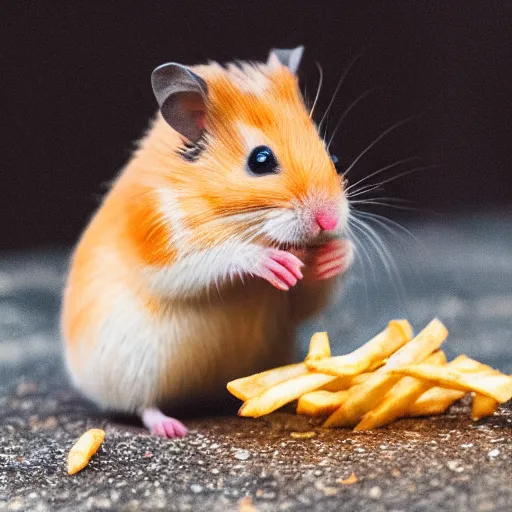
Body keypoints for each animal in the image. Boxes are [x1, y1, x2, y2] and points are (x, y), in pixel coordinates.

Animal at [61, 47, 352, 436]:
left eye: (334, 157)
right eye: (261, 160)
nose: (329, 220)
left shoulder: (296, 304)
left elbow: (310, 298)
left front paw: (336, 254)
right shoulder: (162, 242)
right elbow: (218, 258)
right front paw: (272, 262)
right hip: (132, 371)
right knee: (142, 405)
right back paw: (170, 428)